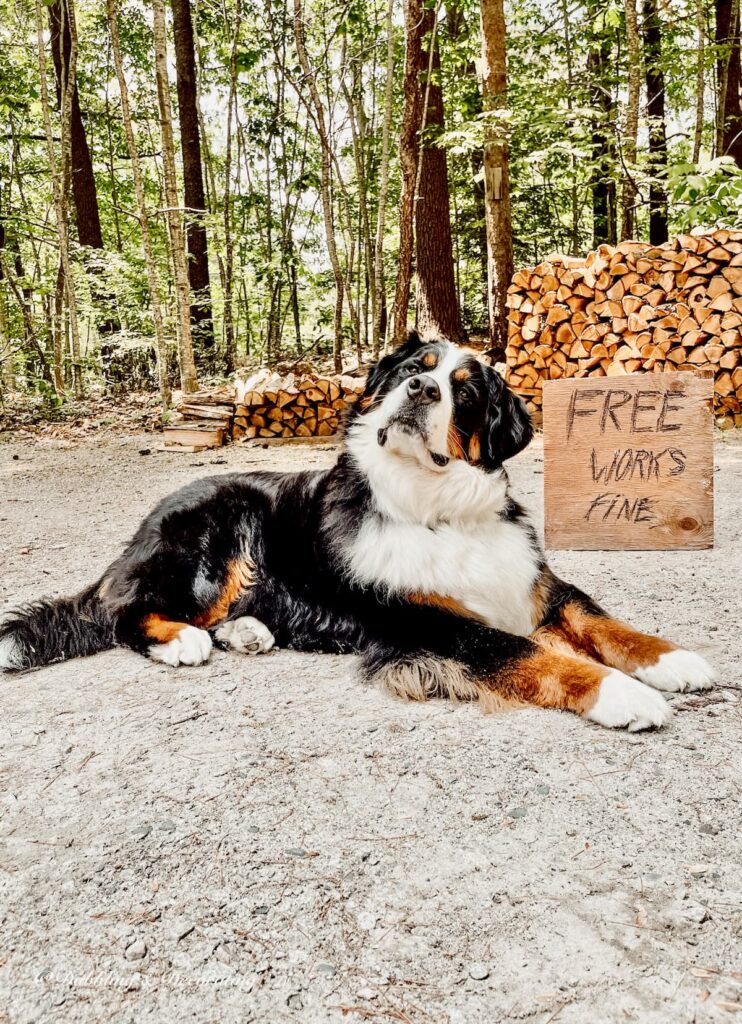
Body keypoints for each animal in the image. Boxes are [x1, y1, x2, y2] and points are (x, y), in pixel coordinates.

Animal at [1, 329, 716, 729]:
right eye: (412, 369)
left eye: (464, 391)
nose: (422, 390)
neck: (435, 509)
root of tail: (141, 531)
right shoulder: (429, 620)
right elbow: (531, 653)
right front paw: (624, 696)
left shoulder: (538, 582)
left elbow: (604, 621)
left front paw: (674, 660)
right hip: (214, 532)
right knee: (124, 613)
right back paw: (183, 641)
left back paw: (247, 632)